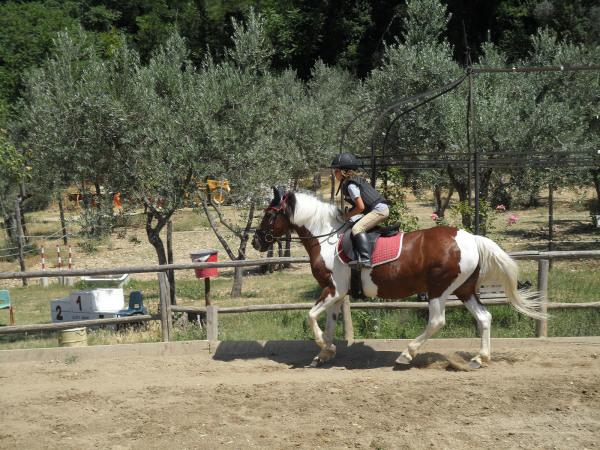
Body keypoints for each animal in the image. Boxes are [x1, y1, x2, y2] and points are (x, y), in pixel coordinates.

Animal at [251, 186, 548, 370]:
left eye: (269, 215)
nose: (256, 242)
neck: (326, 238)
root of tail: (471, 237)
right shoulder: (337, 293)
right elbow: (330, 323)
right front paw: (324, 353)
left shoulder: (333, 289)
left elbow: (311, 316)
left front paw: (325, 348)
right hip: (464, 289)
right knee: (484, 317)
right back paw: (479, 358)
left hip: (440, 289)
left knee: (437, 321)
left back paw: (407, 354)